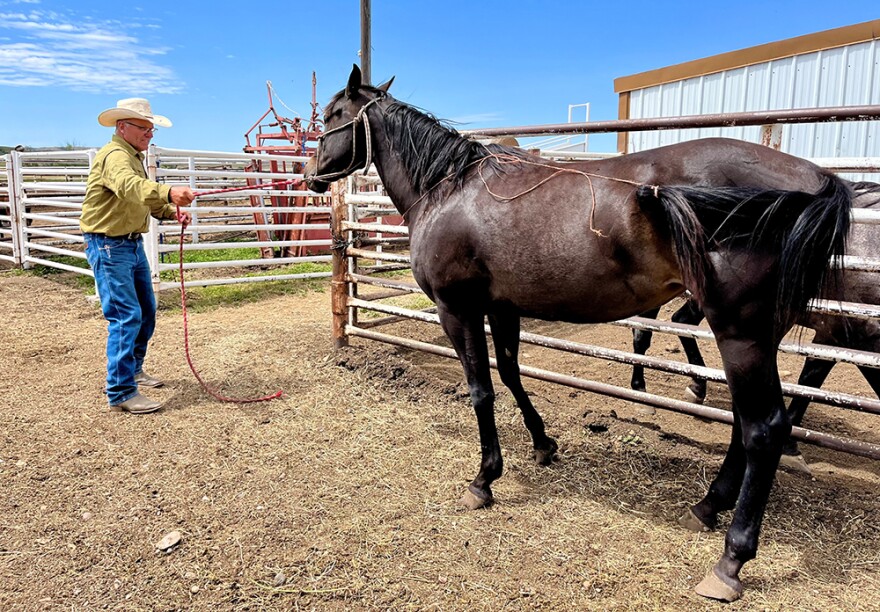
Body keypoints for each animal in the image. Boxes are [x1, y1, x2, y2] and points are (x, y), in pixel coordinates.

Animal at [304, 65, 853, 602]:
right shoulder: (502, 307)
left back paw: (731, 560)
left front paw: (485, 478)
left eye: (331, 116)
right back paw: (706, 507)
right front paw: (543, 444)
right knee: (745, 423)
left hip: (740, 332)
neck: (447, 189)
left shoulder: (456, 309)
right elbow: (511, 374)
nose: (311, 175)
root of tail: (816, 178)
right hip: (759, 336)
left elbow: (481, 390)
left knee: (764, 429)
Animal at [630, 181, 880, 465]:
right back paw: (642, 394)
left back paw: (697, 386)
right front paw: (790, 447)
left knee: (680, 322)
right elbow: (812, 380)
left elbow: (810, 380)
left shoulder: (838, 337)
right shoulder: (849, 334)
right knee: (645, 334)